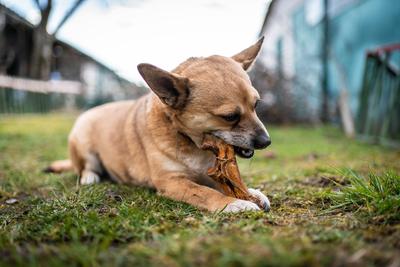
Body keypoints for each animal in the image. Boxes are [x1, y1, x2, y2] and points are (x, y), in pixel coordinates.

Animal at [47, 37, 272, 214]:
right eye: (230, 116)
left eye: (256, 105)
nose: (266, 141)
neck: (193, 144)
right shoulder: (172, 181)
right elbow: (204, 192)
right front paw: (233, 203)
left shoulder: (210, 173)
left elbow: (225, 184)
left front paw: (251, 193)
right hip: (83, 141)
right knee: (85, 168)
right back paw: (90, 177)